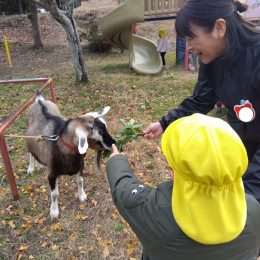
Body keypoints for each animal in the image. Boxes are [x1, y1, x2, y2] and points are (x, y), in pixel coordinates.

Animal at [25, 91, 114, 219]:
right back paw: (31, 168)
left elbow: (80, 181)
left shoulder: (80, 166)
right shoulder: (52, 173)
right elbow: (54, 194)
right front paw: (54, 212)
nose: (114, 143)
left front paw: (82, 196)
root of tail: (39, 100)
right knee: (31, 153)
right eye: (96, 138)